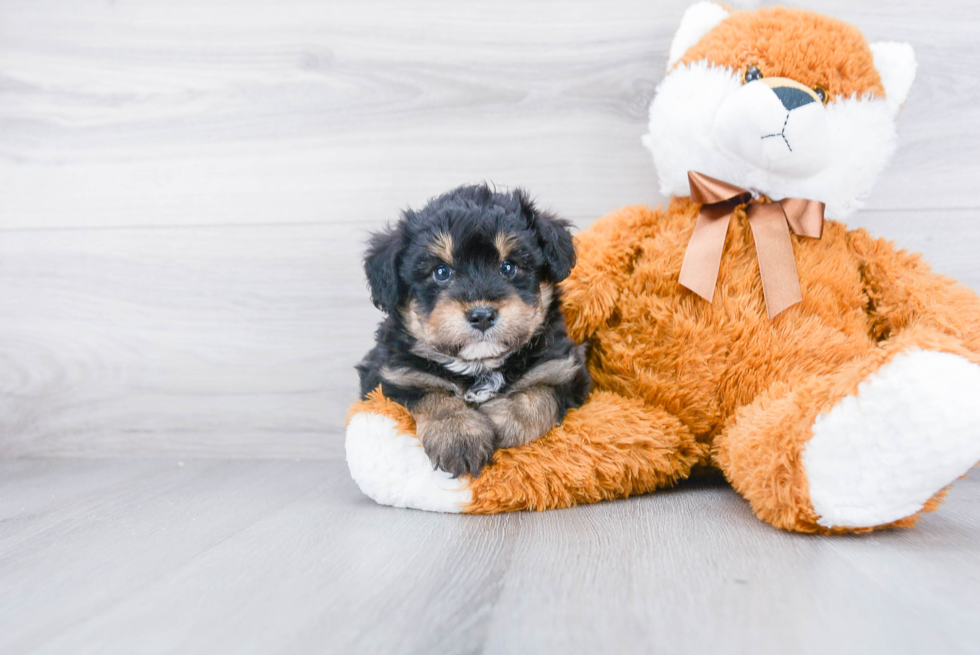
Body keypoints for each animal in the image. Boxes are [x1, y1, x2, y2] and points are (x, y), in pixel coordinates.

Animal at [358, 183, 588, 476]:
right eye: (441, 272)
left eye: (508, 267)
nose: (482, 316)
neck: (480, 366)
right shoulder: (394, 376)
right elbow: (435, 395)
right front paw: (459, 435)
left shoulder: (565, 370)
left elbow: (539, 394)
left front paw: (502, 419)